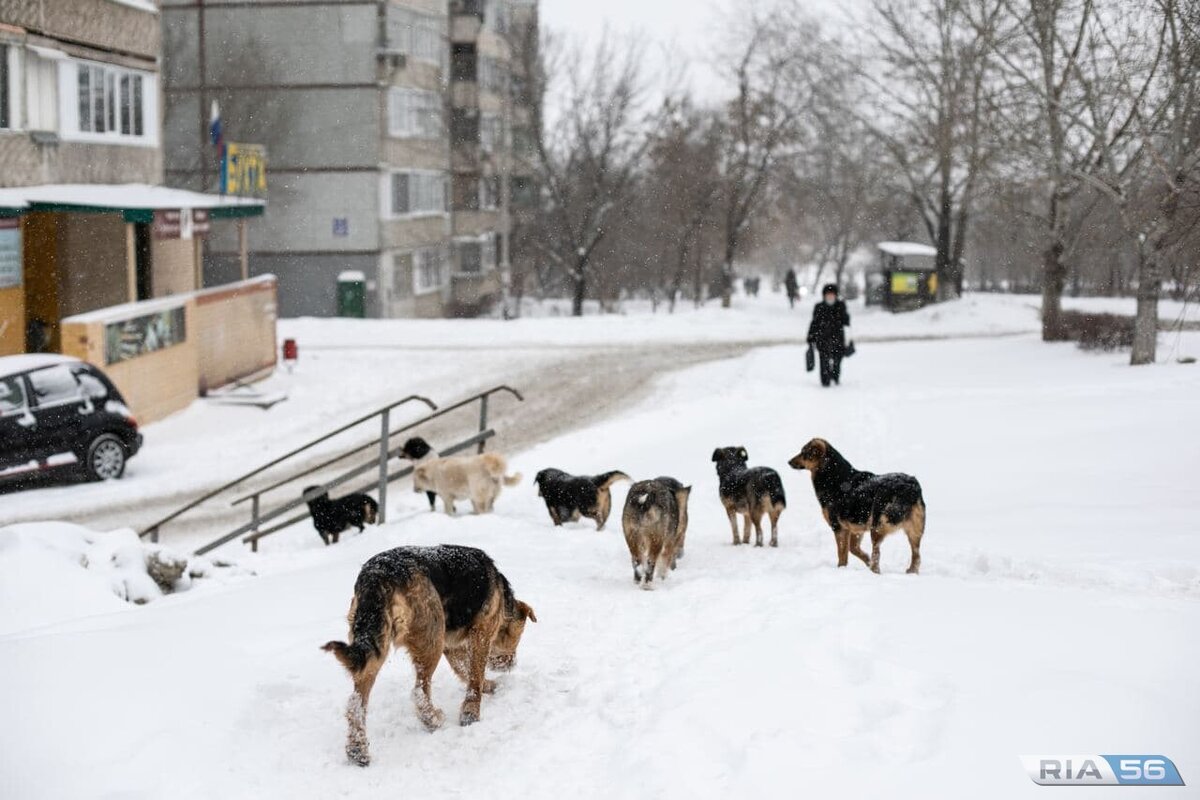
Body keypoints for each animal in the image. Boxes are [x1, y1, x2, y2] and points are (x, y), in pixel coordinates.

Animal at [324, 546, 540, 767]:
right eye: (518, 636)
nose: (512, 663)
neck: (503, 600)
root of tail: (378, 575)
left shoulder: (452, 646)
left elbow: (466, 671)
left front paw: (488, 687)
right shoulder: (481, 632)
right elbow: (474, 677)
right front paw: (471, 714)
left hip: (374, 644)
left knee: (356, 703)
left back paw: (357, 750)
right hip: (431, 636)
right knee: (419, 691)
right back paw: (434, 719)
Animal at [787, 438, 926, 575]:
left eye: (804, 453)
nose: (788, 462)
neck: (833, 476)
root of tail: (908, 487)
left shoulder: (839, 527)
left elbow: (842, 553)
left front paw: (841, 569)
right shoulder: (856, 528)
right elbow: (853, 549)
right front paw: (866, 560)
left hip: (877, 527)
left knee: (877, 553)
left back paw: (874, 571)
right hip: (914, 531)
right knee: (917, 555)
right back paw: (911, 571)